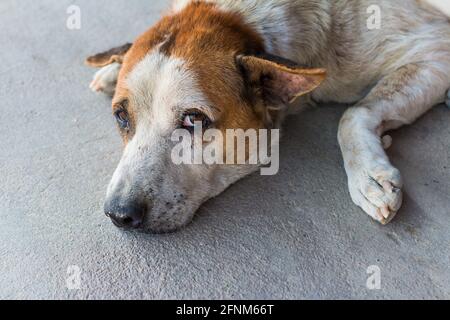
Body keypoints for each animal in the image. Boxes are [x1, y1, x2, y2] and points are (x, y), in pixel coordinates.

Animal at [85, 0, 450, 232]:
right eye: (121, 117)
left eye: (193, 120)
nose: (119, 214)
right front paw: (113, 65)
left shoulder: (435, 52)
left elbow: (354, 113)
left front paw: (369, 176)